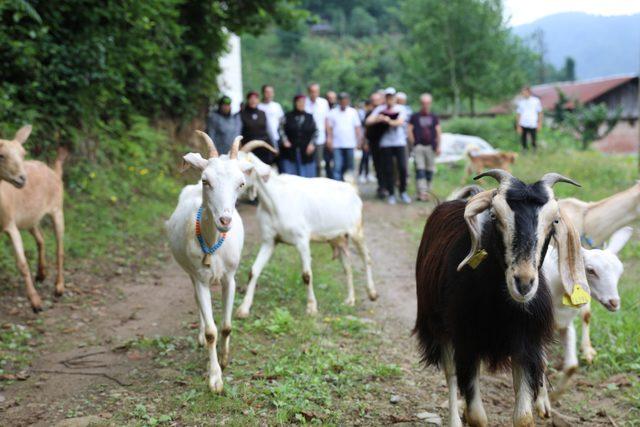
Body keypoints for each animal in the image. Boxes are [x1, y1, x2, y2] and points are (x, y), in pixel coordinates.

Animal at [0, 125, 67, 312]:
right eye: (1, 155)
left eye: (23, 153)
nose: (22, 178)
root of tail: (54, 171)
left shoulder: (9, 225)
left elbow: (22, 264)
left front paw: (36, 303)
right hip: (30, 219)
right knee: (41, 239)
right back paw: (41, 274)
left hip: (57, 209)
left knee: (59, 248)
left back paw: (59, 288)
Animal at [165, 131, 255, 394]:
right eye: (206, 180)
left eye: (241, 183)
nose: (225, 220)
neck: (214, 246)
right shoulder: (200, 279)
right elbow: (212, 331)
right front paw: (215, 378)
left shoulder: (230, 278)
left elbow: (226, 326)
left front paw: (224, 360)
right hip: (190, 274)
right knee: (197, 301)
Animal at [235, 143, 378, 318]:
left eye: (247, 169)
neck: (275, 199)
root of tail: (352, 189)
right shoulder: (269, 241)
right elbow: (254, 271)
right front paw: (243, 309)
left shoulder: (302, 240)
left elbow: (307, 275)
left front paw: (311, 307)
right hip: (338, 238)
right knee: (347, 267)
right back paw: (350, 300)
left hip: (356, 231)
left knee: (367, 258)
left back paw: (372, 293)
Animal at [416, 171, 592, 427]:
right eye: (494, 215)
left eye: (555, 221)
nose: (524, 283)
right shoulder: (466, 341)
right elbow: (477, 415)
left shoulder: (525, 344)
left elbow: (524, 416)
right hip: (438, 325)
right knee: (451, 375)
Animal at [536, 227, 632, 412]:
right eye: (590, 270)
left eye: (620, 272)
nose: (614, 302)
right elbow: (541, 364)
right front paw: (542, 403)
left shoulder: (565, 324)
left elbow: (572, 366)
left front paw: (555, 395)